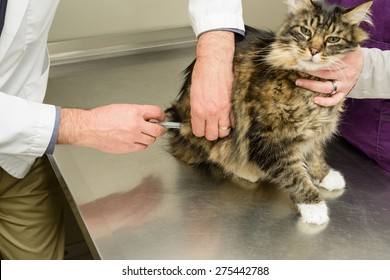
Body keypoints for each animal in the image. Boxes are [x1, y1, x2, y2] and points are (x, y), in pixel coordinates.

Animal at [164, 0, 372, 224]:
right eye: (305, 31)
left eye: (332, 39)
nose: (314, 50)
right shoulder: (268, 139)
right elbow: (294, 175)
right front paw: (314, 207)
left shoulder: (316, 129)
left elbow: (315, 154)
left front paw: (324, 175)